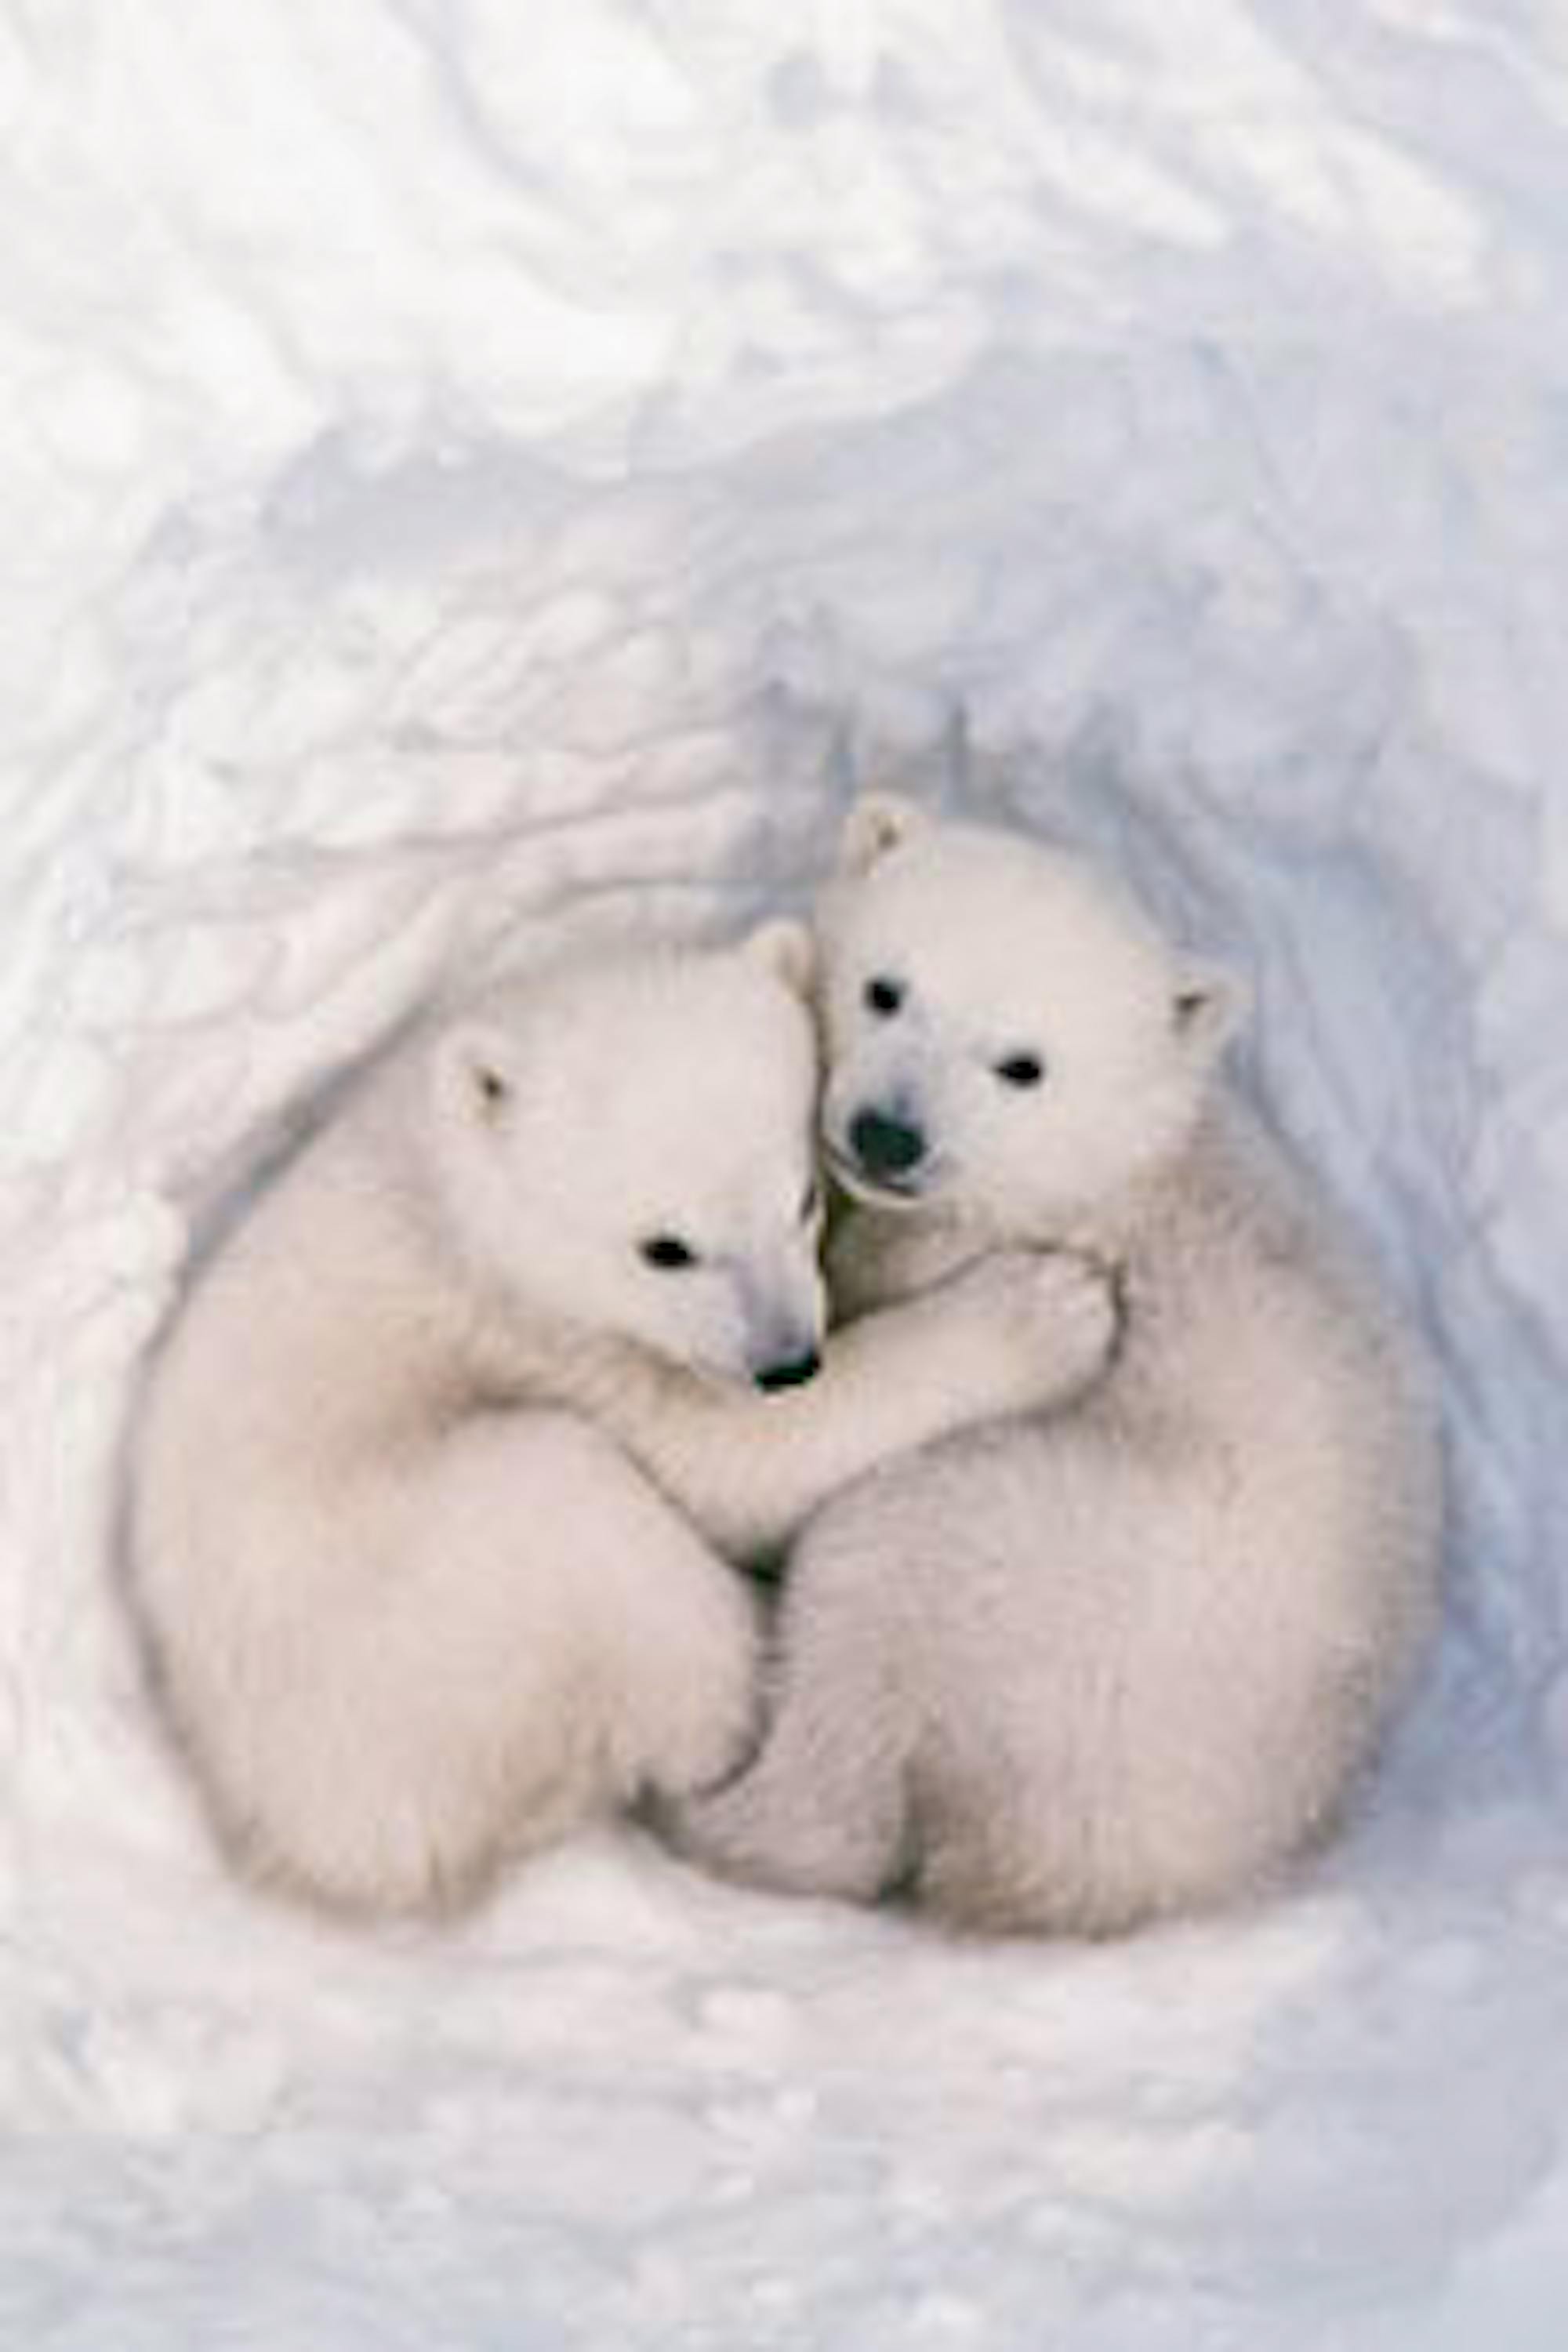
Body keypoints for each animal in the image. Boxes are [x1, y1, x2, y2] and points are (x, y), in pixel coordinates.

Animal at [125, 920, 1120, 1919]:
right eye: (665, 1249)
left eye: (802, 1198)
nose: (789, 1362)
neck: (451, 1171)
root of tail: (336, 1849)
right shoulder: (538, 1333)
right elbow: (732, 1465)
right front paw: (1047, 1307)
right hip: (435, 1623)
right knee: (616, 1562)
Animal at [668, 803, 1443, 1935]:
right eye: (885, 988)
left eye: (1020, 1065)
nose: (887, 1135)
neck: (1095, 1172)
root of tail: (1074, 1862)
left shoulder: (961, 1247)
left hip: (1036, 1570)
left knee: (865, 1614)